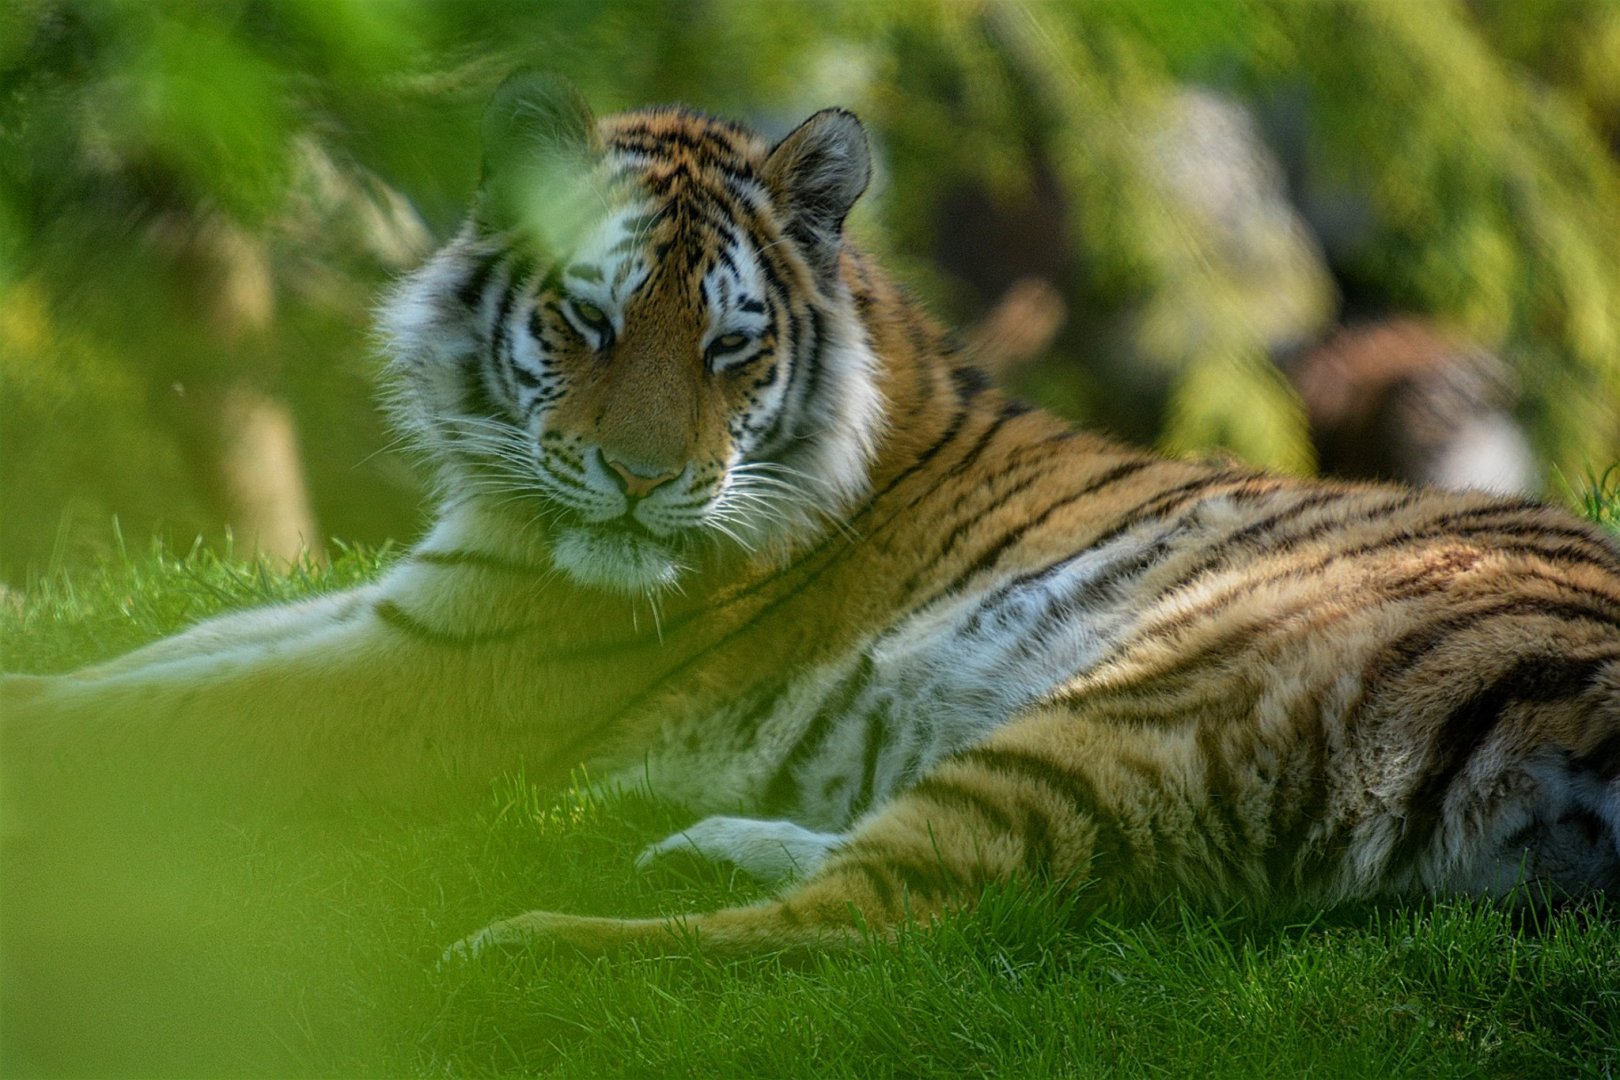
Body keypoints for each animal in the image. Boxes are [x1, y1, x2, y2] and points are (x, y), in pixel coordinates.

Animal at [4, 74, 1618, 963]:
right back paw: (708, 842)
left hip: (1158, 691)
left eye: (730, 345)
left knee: (868, 929)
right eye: (589, 320)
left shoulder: (445, 671)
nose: (643, 481)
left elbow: (157, 716)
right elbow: (150, 662)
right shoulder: (418, 599)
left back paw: (518, 952)